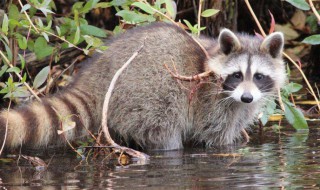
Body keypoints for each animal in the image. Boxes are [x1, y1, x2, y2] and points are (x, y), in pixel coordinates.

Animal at [0, 22, 284, 150]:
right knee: (164, 127)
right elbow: (215, 135)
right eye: (236, 75)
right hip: (147, 92)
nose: (247, 98)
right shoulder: (210, 101)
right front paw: (230, 147)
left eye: (259, 77)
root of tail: (97, 74)